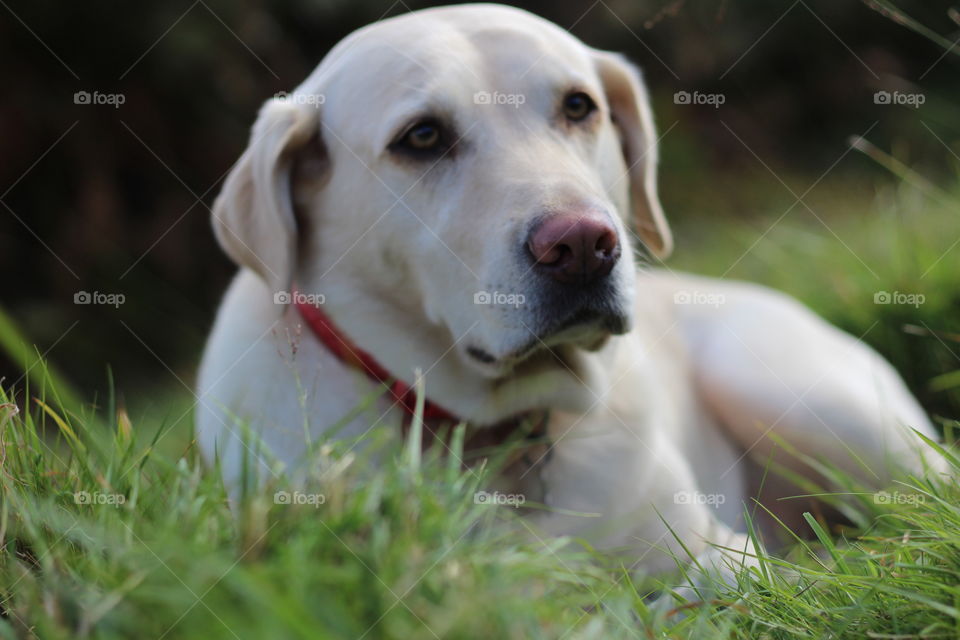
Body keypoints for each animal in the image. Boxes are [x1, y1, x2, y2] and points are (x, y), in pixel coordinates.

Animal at [197, 2, 944, 596]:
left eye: (578, 106)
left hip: (792, 393)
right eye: (423, 136)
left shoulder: (718, 549)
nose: (583, 245)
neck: (499, 428)